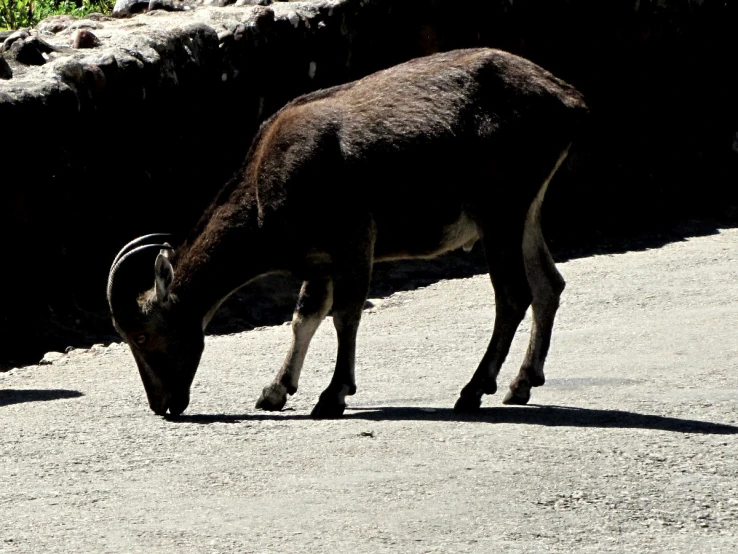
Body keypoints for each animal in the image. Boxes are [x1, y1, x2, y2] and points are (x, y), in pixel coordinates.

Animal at [106, 48, 588, 414]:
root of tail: (569, 101)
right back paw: (521, 383)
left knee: (513, 294)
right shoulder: (318, 259)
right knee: (548, 284)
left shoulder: (353, 237)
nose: (163, 405)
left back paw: (473, 391)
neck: (264, 184)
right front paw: (275, 391)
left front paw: (333, 395)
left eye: (143, 335)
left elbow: (346, 312)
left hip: (500, 211)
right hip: (527, 210)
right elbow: (305, 316)